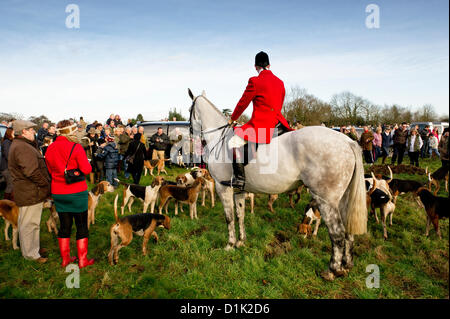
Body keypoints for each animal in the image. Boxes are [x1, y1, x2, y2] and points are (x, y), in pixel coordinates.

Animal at [188, 89, 368, 280]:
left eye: (189, 110)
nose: (191, 135)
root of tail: (348, 141)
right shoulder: (239, 191)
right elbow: (240, 215)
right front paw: (241, 242)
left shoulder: (223, 188)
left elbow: (229, 218)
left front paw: (229, 245)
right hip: (343, 198)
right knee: (348, 232)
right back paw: (346, 266)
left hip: (326, 199)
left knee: (337, 234)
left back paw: (332, 270)